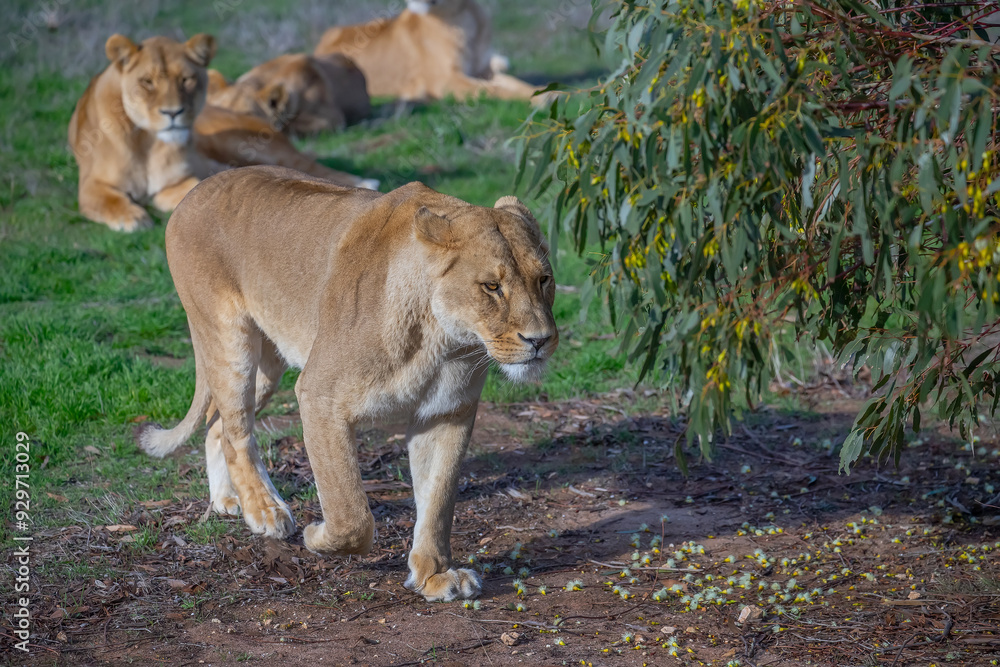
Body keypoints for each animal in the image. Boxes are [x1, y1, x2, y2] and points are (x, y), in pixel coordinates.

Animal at [68, 33, 216, 231]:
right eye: (148, 82)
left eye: (186, 79)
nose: (173, 112)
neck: (148, 143)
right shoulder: (91, 184)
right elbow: (111, 201)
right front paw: (134, 217)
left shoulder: (175, 183)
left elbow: (201, 190)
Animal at [136, 166, 558, 601]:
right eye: (492, 286)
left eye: (544, 279)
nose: (540, 340)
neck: (443, 343)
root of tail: (198, 188)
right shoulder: (320, 396)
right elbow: (351, 512)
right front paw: (317, 536)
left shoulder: (446, 412)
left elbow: (438, 500)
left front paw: (435, 575)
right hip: (230, 343)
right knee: (237, 433)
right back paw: (266, 511)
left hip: (268, 363)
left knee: (217, 424)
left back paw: (226, 500)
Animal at [314, 0, 549, 104]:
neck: (462, 16)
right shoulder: (444, 81)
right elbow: (494, 90)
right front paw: (540, 99)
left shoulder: (482, 71)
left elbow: (512, 83)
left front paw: (544, 91)